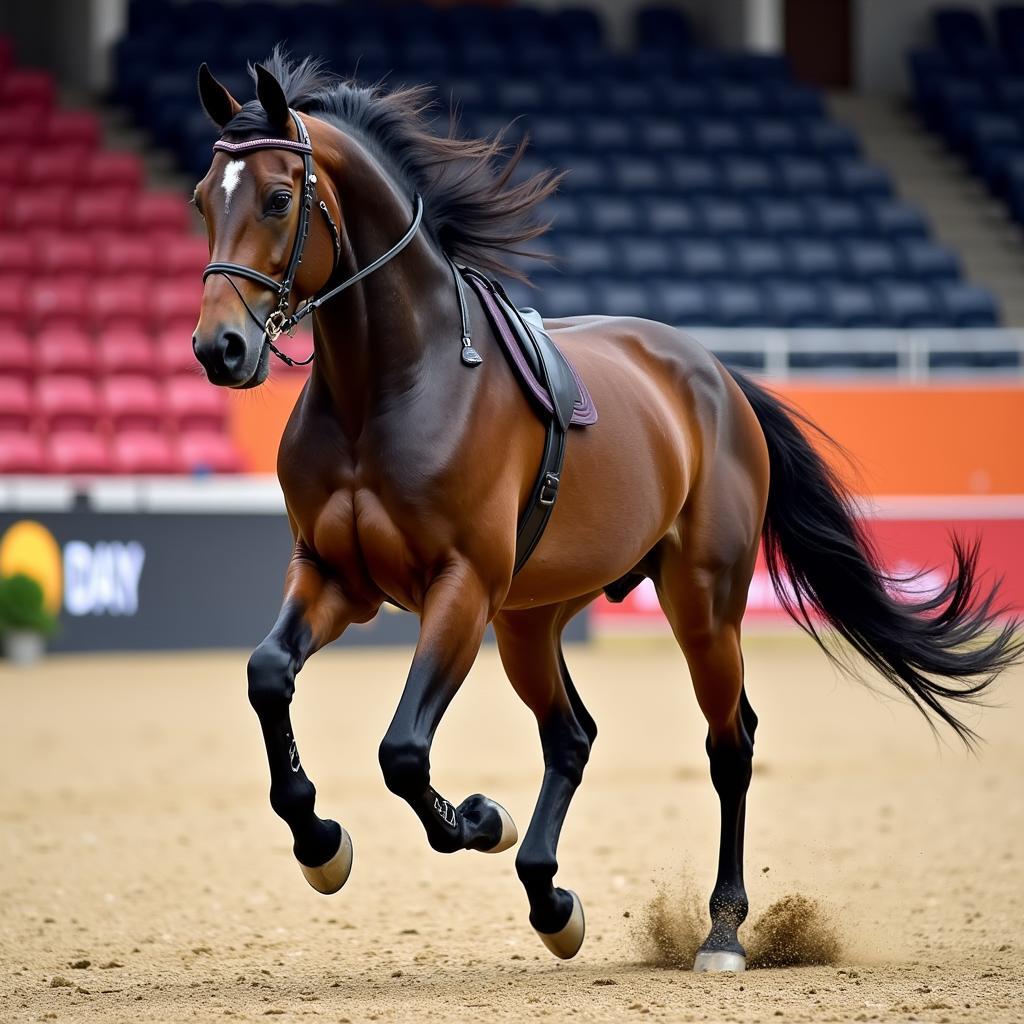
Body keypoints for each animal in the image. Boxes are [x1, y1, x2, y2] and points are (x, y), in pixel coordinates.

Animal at [188, 54, 1019, 966]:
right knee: (573, 737)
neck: (391, 384)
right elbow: (269, 675)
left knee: (730, 745)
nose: (219, 349)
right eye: (200, 200)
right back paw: (550, 899)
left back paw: (720, 929)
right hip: (532, 618)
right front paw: (320, 843)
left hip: (700, 606)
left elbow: (403, 751)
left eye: (277, 197)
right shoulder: (335, 575)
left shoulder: (460, 588)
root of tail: (717, 376)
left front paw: (477, 818)